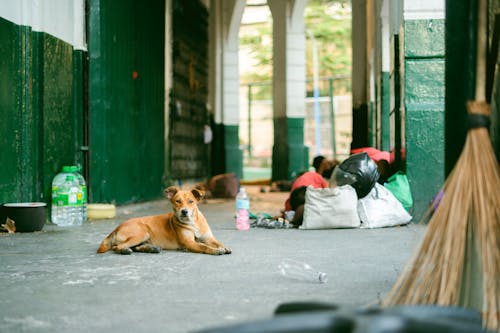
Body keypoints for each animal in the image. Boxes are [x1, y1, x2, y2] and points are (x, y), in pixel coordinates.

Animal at [96, 187, 231, 254]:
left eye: (191, 201)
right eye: (177, 201)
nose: (184, 211)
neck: (193, 222)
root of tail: (116, 228)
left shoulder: (209, 238)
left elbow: (218, 242)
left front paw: (224, 247)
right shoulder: (189, 242)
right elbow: (204, 247)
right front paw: (215, 250)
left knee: (136, 247)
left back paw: (151, 249)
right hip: (142, 232)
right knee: (117, 247)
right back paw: (125, 250)